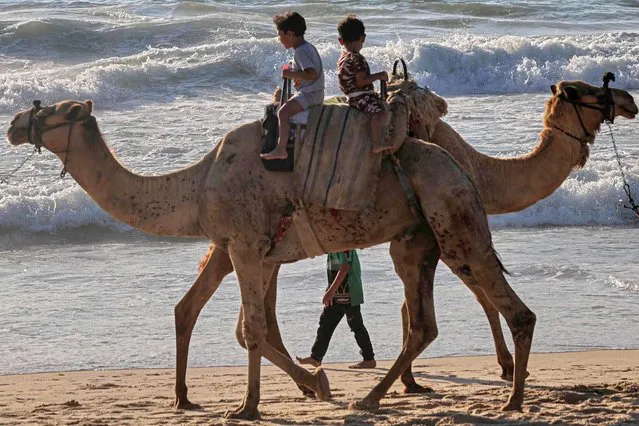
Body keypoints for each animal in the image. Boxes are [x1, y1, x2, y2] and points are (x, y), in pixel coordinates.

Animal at [6, 95, 536, 418]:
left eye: (53, 112)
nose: (13, 124)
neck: (196, 186)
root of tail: (462, 170)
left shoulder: (244, 245)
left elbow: (254, 330)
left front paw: (249, 407)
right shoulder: (252, 251)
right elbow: (243, 327)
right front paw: (314, 383)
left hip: (453, 218)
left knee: (512, 307)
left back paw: (511, 401)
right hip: (414, 240)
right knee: (425, 322)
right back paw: (370, 399)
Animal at [178, 76, 636, 402]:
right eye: (585, 91)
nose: (628, 100)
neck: (485, 172)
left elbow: (425, 302)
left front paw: (413, 381)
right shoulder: (442, 225)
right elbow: (475, 296)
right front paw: (504, 368)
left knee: (217, 299)